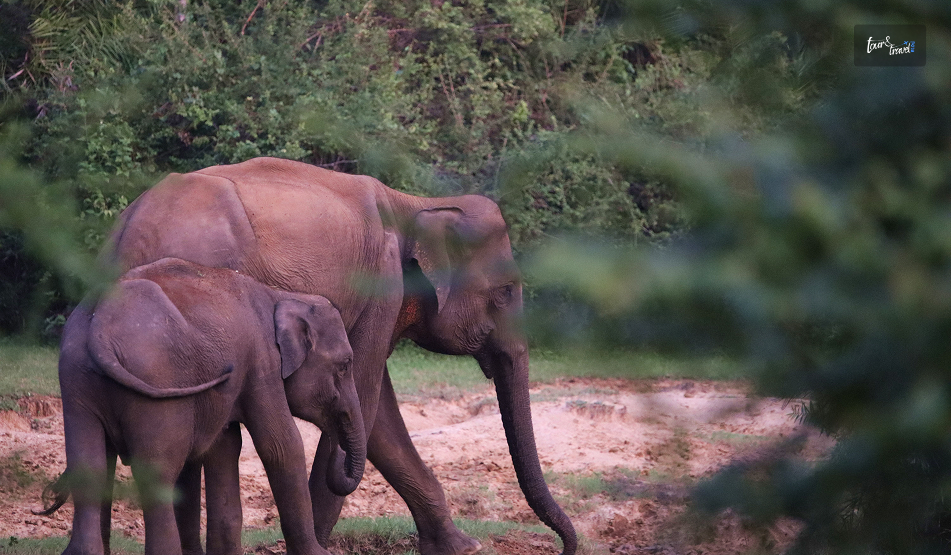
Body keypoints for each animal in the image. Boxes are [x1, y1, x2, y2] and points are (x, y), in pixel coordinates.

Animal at [50, 257, 366, 555]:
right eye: (345, 365)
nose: (338, 451)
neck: (281, 295)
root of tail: (100, 327)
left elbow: (225, 446)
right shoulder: (262, 362)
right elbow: (281, 446)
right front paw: (319, 553)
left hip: (76, 377)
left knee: (89, 466)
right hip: (155, 380)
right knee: (158, 473)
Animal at [106, 157, 577, 555]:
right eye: (506, 291)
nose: (566, 548)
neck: (417, 206)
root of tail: (130, 231)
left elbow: (380, 415)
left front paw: (462, 547)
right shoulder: (381, 284)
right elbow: (367, 400)